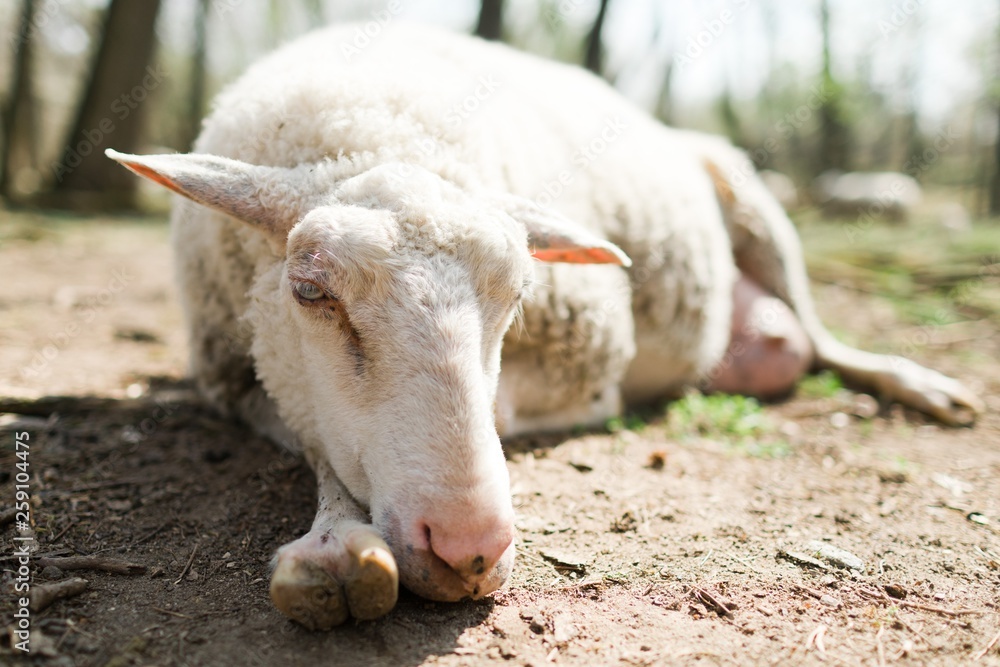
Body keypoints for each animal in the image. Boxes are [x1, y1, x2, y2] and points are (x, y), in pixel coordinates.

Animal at [106, 22, 982, 630]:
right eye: (310, 289)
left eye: (519, 295)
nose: (468, 547)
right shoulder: (239, 380)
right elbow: (319, 440)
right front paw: (337, 549)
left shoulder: (588, 369)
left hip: (755, 200)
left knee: (825, 338)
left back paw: (923, 385)